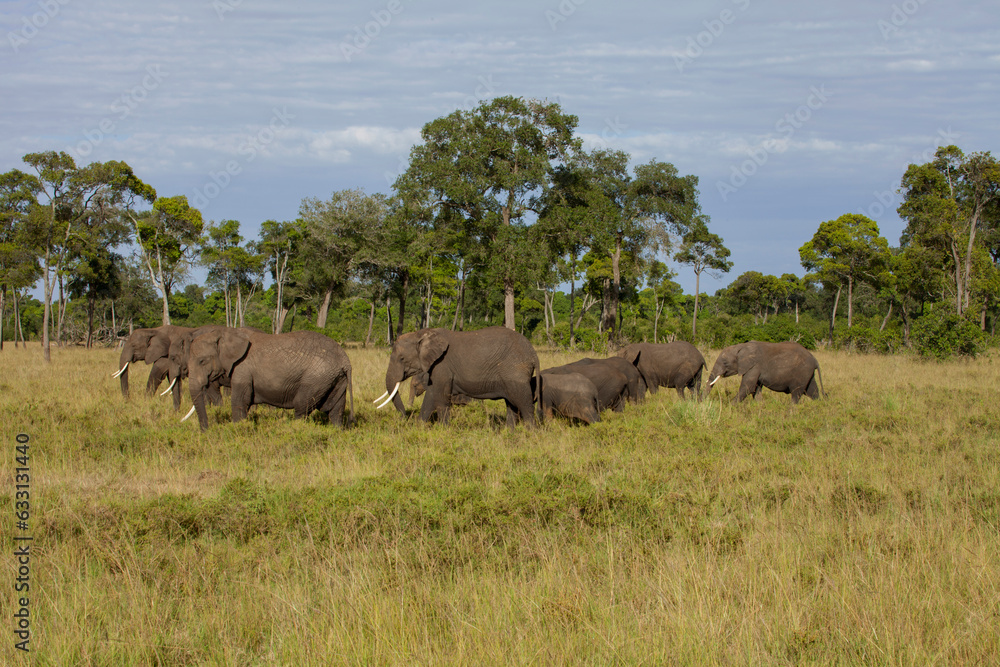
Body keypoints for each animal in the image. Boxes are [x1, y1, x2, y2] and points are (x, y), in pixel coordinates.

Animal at [184, 330, 356, 434]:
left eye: (202, 361)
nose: (205, 431)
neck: (224, 334)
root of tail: (345, 360)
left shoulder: (242, 371)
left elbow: (240, 402)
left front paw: (237, 429)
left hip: (316, 378)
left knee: (301, 408)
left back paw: (296, 429)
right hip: (335, 378)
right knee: (335, 410)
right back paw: (337, 431)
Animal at [376, 328, 540, 428]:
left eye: (402, 358)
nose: (404, 417)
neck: (422, 333)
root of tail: (533, 353)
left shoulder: (442, 365)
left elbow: (440, 397)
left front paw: (444, 430)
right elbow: (431, 396)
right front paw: (420, 426)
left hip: (515, 372)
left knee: (524, 403)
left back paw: (530, 433)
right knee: (511, 404)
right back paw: (509, 432)